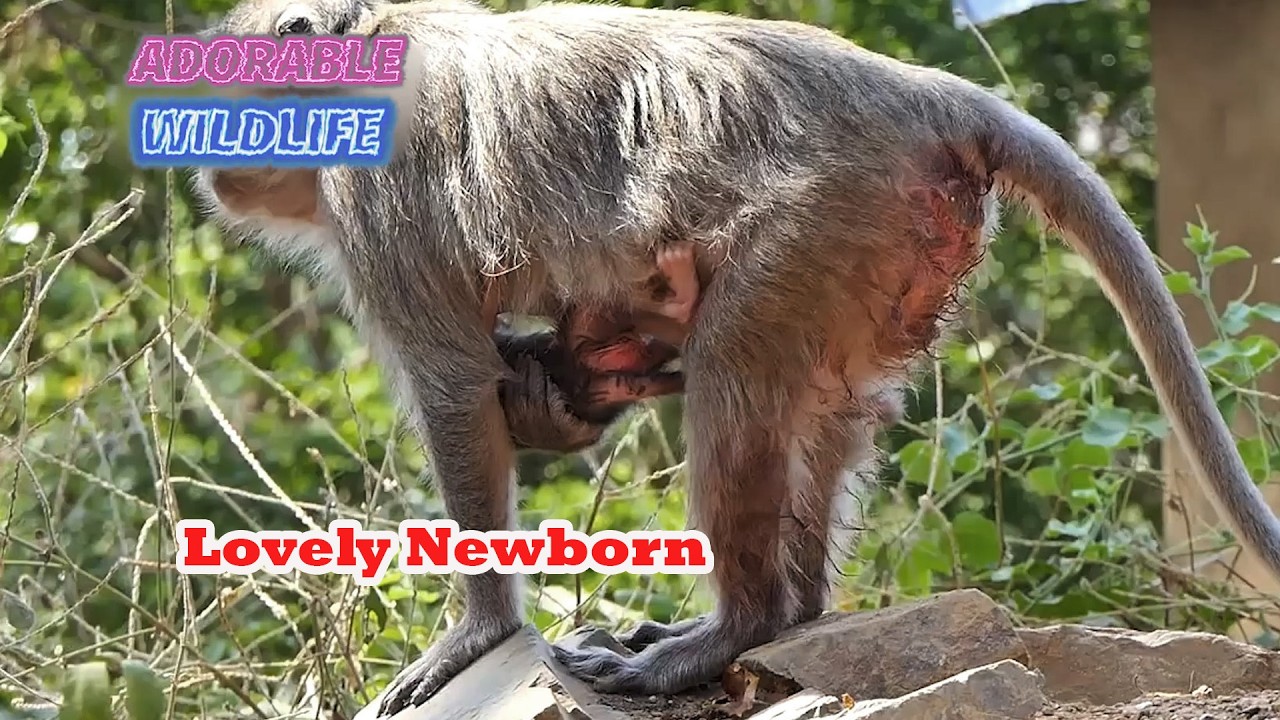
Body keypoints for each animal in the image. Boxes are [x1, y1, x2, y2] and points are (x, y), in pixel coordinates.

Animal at [193, 1, 1280, 716]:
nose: (203, 154)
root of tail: (917, 95)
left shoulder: (376, 195)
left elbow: (458, 388)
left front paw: (482, 629)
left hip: (818, 221)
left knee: (734, 377)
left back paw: (736, 629)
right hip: (893, 245)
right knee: (831, 408)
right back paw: (789, 615)